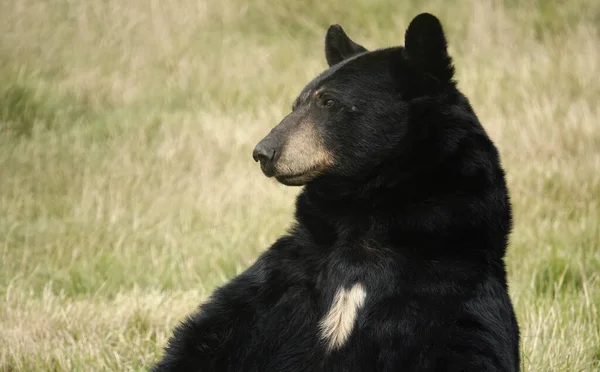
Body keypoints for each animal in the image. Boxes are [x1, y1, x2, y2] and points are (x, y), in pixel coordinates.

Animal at [154, 12, 520, 372]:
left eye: (329, 101)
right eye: (296, 103)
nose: (264, 152)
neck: (364, 218)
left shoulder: (448, 288)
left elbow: (469, 349)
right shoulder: (284, 281)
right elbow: (209, 339)